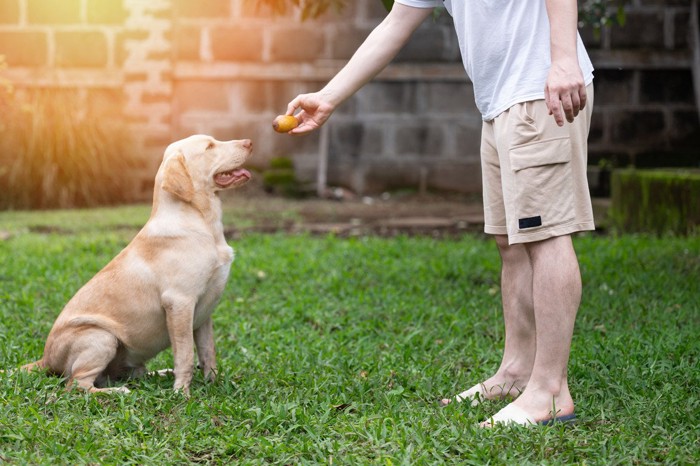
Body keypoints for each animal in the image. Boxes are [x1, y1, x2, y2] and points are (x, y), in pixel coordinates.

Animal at [20, 134, 253, 394]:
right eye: (210, 146)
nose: (249, 142)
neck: (203, 222)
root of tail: (45, 360)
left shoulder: (204, 313)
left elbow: (207, 352)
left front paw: (214, 384)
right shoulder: (179, 302)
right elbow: (185, 355)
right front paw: (182, 393)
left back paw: (160, 373)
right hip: (101, 337)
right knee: (78, 385)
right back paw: (118, 392)